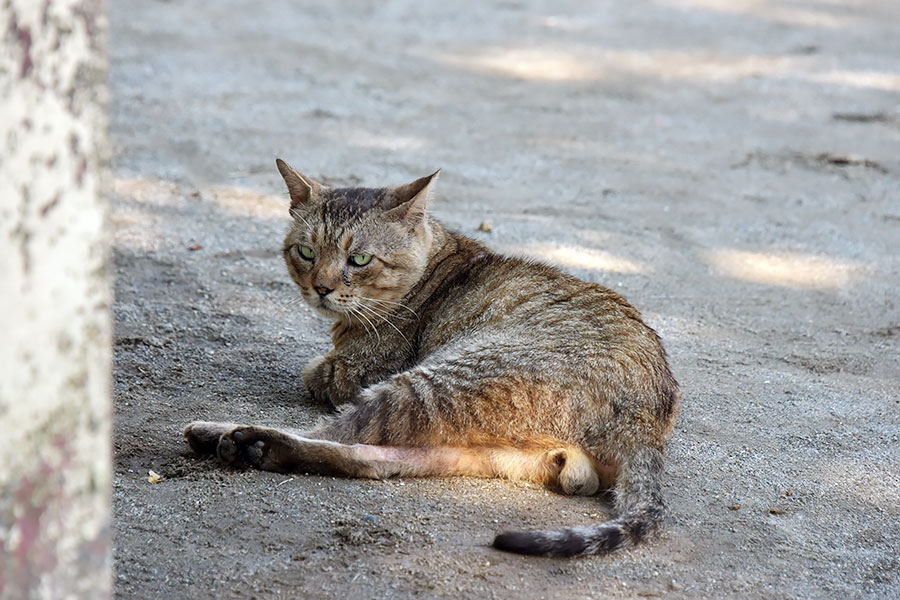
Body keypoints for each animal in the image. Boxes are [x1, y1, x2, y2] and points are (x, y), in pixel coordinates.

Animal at [183, 159, 680, 556]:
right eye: (305, 252)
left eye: (359, 259)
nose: (321, 287)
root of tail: (644, 422)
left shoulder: (353, 372)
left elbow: (316, 373)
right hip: (478, 446)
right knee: (372, 458)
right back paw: (252, 447)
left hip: (433, 382)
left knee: (341, 432)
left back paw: (230, 435)